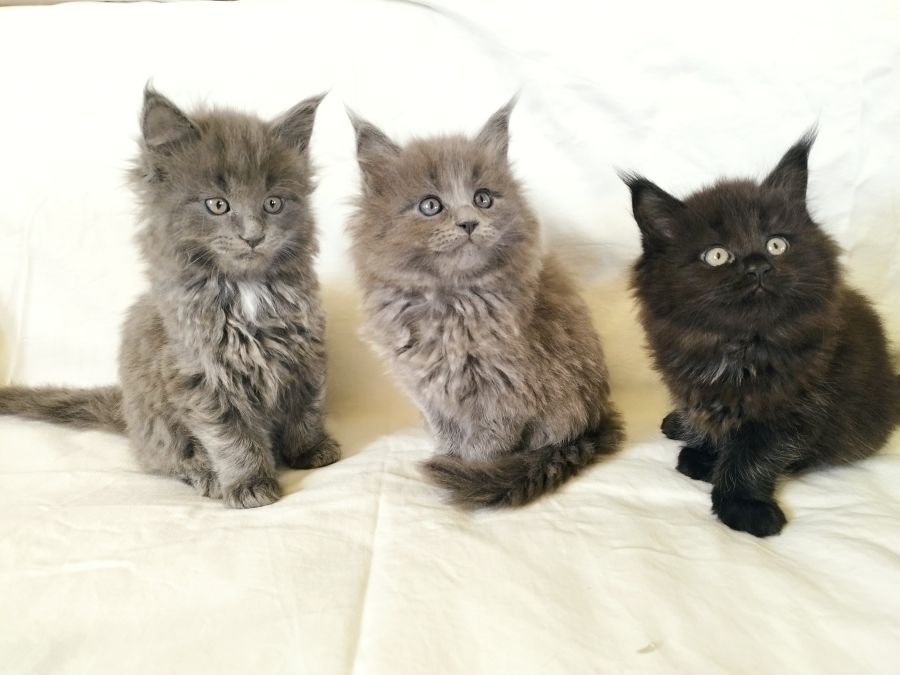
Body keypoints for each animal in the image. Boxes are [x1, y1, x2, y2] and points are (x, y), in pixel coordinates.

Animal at [0, 86, 340, 508]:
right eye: (217, 204)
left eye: (273, 203)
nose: (253, 235)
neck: (246, 289)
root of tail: (125, 411)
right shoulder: (202, 375)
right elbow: (232, 437)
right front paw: (249, 484)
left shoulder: (304, 353)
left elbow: (305, 407)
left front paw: (311, 449)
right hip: (155, 422)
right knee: (166, 458)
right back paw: (207, 476)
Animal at [346, 100, 623, 508]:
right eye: (431, 205)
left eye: (483, 199)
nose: (469, 223)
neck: (449, 303)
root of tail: (596, 420)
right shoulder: (426, 386)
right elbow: (446, 429)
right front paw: (450, 456)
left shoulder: (506, 385)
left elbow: (489, 440)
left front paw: (472, 469)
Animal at [624, 131, 900, 536]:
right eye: (717, 255)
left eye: (776, 244)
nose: (758, 266)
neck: (737, 345)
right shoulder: (691, 384)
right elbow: (707, 421)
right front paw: (703, 453)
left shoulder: (792, 406)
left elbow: (754, 455)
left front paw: (743, 504)